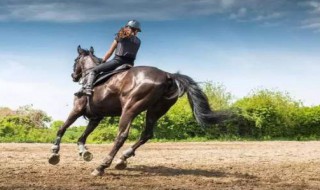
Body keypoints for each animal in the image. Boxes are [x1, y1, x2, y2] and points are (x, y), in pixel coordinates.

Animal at [48, 45, 229, 176]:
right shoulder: (96, 117)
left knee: (121, 136)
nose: (73, 76)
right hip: (155, 111)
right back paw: (123, 159)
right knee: (146, 134)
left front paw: (54, 153)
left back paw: (101, 167)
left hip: (130, 109)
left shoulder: (77, 110)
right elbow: (82, 137)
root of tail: (168, 75)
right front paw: (84, 152)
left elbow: (62, 129)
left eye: (75, 59)